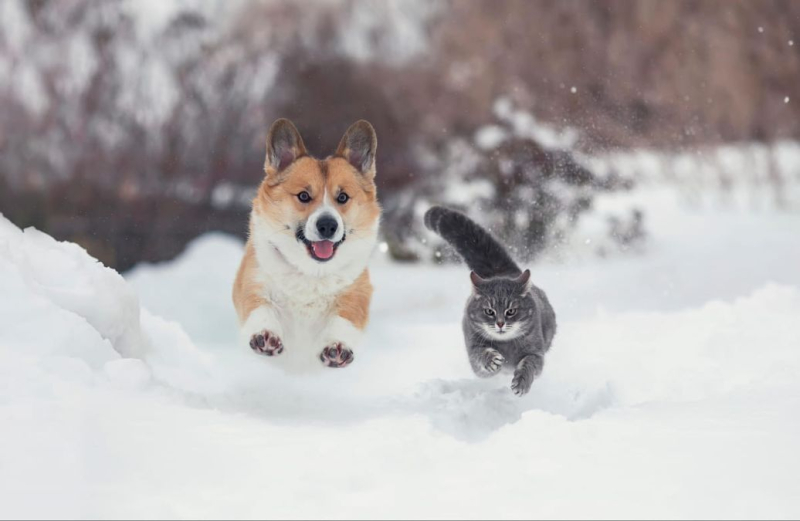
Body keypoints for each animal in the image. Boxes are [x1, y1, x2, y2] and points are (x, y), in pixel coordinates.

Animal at [231, 119, 382, 370]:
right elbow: (261, 309)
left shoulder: (356, 293)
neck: (312, 272)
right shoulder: (253, 283)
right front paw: (265, 336)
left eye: (342, 197)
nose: (328, 225)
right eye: (303, 196)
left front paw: (337, 347)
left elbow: (344, 321)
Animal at [424, 205, 556, 396]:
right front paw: (492, 359)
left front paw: (521, 383)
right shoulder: (473, 350)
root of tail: (498, 272)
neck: (506, 345)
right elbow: (480, 355)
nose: (500, 323)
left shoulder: (536, 353)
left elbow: (529, 365)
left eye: (511, 311)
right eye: (489, 311)